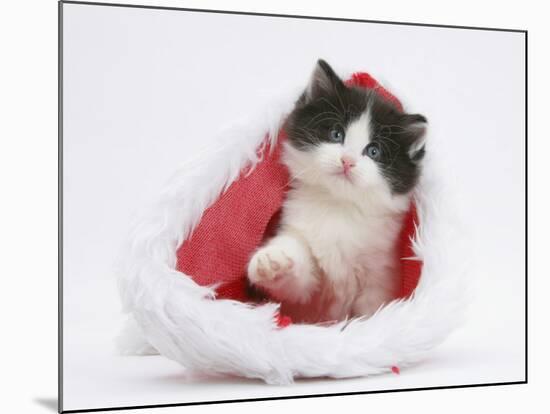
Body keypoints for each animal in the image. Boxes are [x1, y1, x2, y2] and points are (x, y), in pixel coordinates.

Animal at [248, 59, 430, 324]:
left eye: (373, 151)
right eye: (336, 134)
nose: (347, 161)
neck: (339, 206)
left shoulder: (381, 272)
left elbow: (371, 309)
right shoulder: (305, 301)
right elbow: (298, 284)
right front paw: (273, 260)